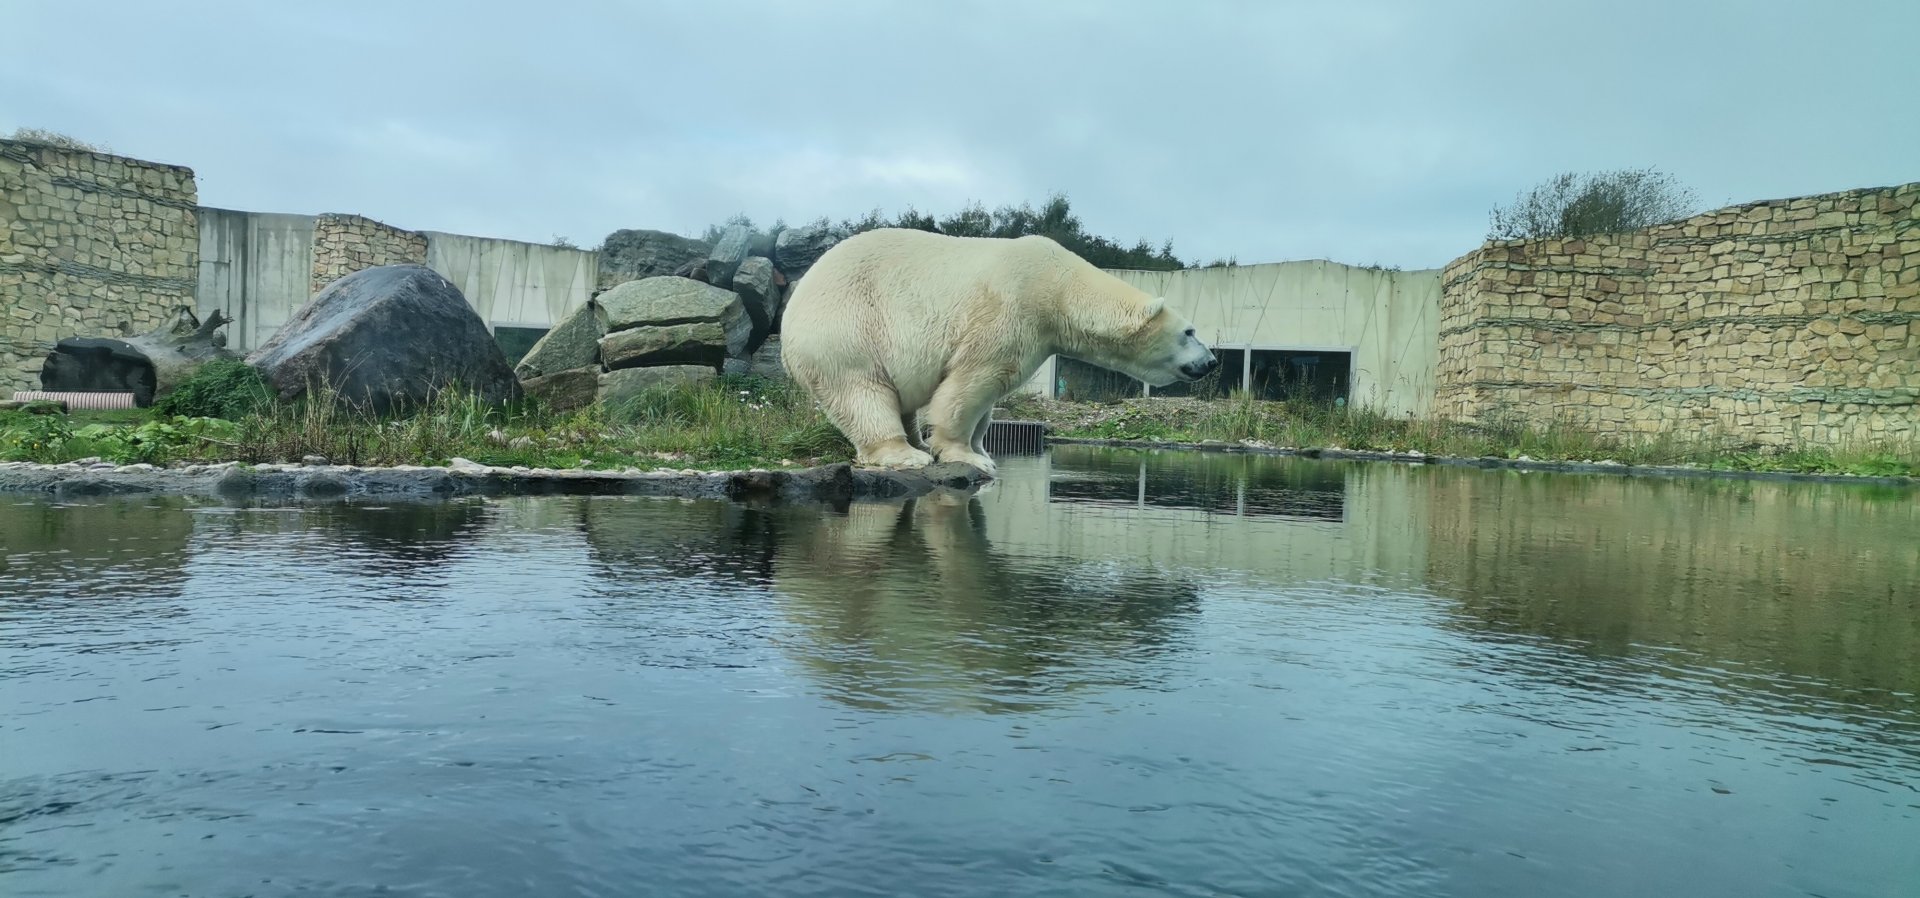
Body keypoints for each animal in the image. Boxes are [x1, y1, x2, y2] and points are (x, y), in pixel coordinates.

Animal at [779, 228, 1220, 475]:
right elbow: (970, 385)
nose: (1212, 362)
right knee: (861, 392)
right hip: (846, 330)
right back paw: (907, 454)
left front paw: (981, 449)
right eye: (1190, 331)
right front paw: (967, 457)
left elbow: (990, 396)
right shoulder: (1011, 311)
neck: (1060, 287)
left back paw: (916, 442)